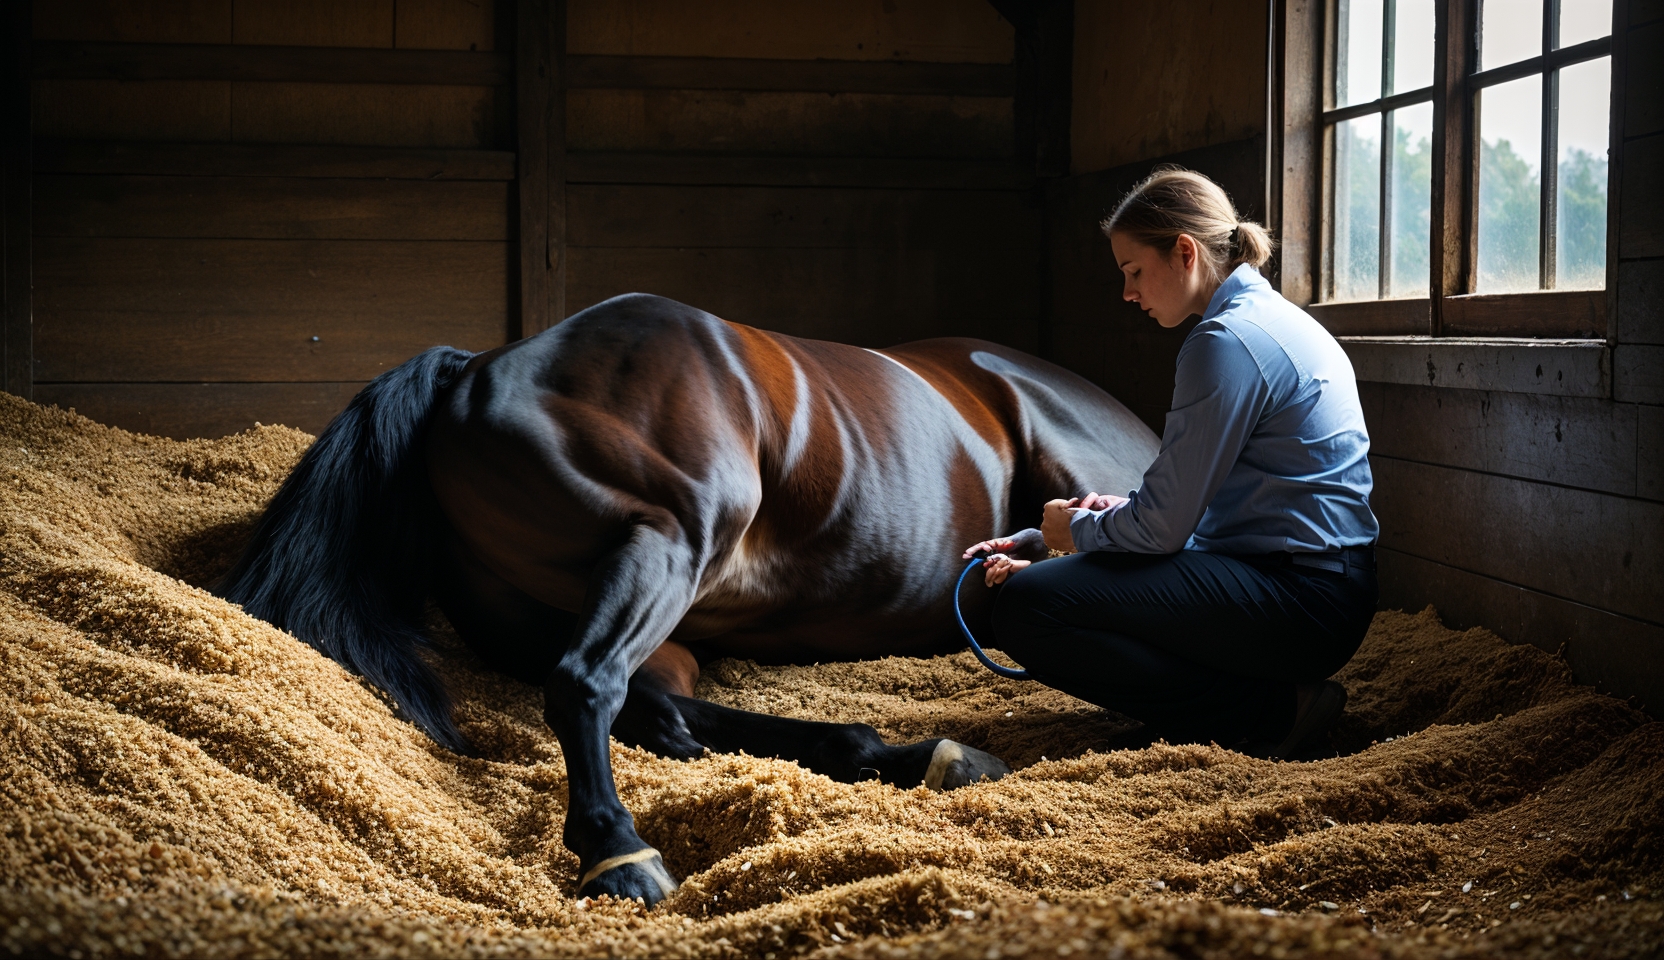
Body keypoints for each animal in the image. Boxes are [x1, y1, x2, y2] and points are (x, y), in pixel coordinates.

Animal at [218, 292, 1159, 905]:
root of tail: (473, 374)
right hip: (666, 548)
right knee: (594, 686)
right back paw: (621, 854)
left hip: (633, 599)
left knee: (656, 709)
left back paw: (907, 754)